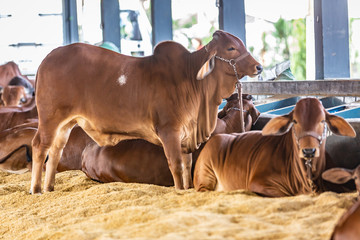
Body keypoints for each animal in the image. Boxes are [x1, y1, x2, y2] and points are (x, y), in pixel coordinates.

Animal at [31, 30, 262, 195]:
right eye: (231, 47)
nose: (259, 67)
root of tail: (47, 59)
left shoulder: (187, 133)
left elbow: (187, 164)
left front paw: (187, 189)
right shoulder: (169, 131)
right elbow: (176, 165)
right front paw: (180, 190)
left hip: (66, 124)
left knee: (55, 151)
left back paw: (49, 187)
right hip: (49, 118)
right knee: (40, 146)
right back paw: (36, 189)